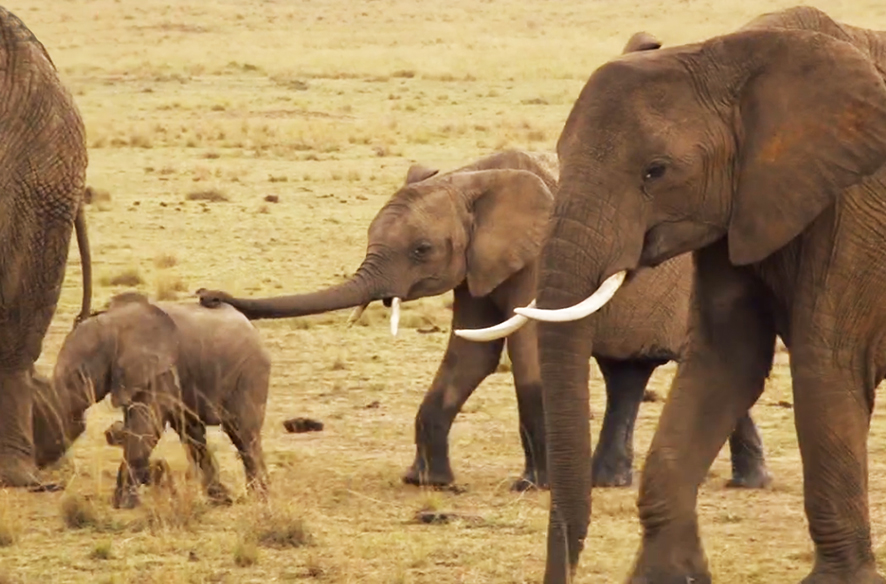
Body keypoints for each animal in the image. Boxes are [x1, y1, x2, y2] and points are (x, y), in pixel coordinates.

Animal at [35, 292, 270, 506]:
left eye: (78, 374)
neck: (115, 323)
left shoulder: (161, 371)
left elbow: (146, 428)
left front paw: (124, 504)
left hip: (250, 373)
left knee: (244, 433)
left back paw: (259, 497)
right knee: (193, 434)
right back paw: (221, 500)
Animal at [462, 5, 886, 584]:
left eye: (655, 171)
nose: (563, 569)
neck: (728, 53)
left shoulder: (856, 215)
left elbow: (829, 367)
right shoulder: (736, 211)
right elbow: (725, 361)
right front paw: (671, 574)